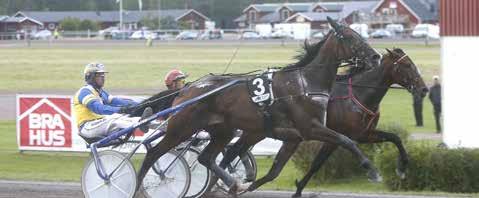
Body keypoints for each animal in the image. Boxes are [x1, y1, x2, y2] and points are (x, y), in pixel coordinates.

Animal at [290, 47, 430, 196]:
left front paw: (402, 168)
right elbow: (317, 163)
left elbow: (395, 137)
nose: (424, 89)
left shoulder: (363, 134)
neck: (359, 94)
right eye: (407, 65)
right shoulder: (343, 135)